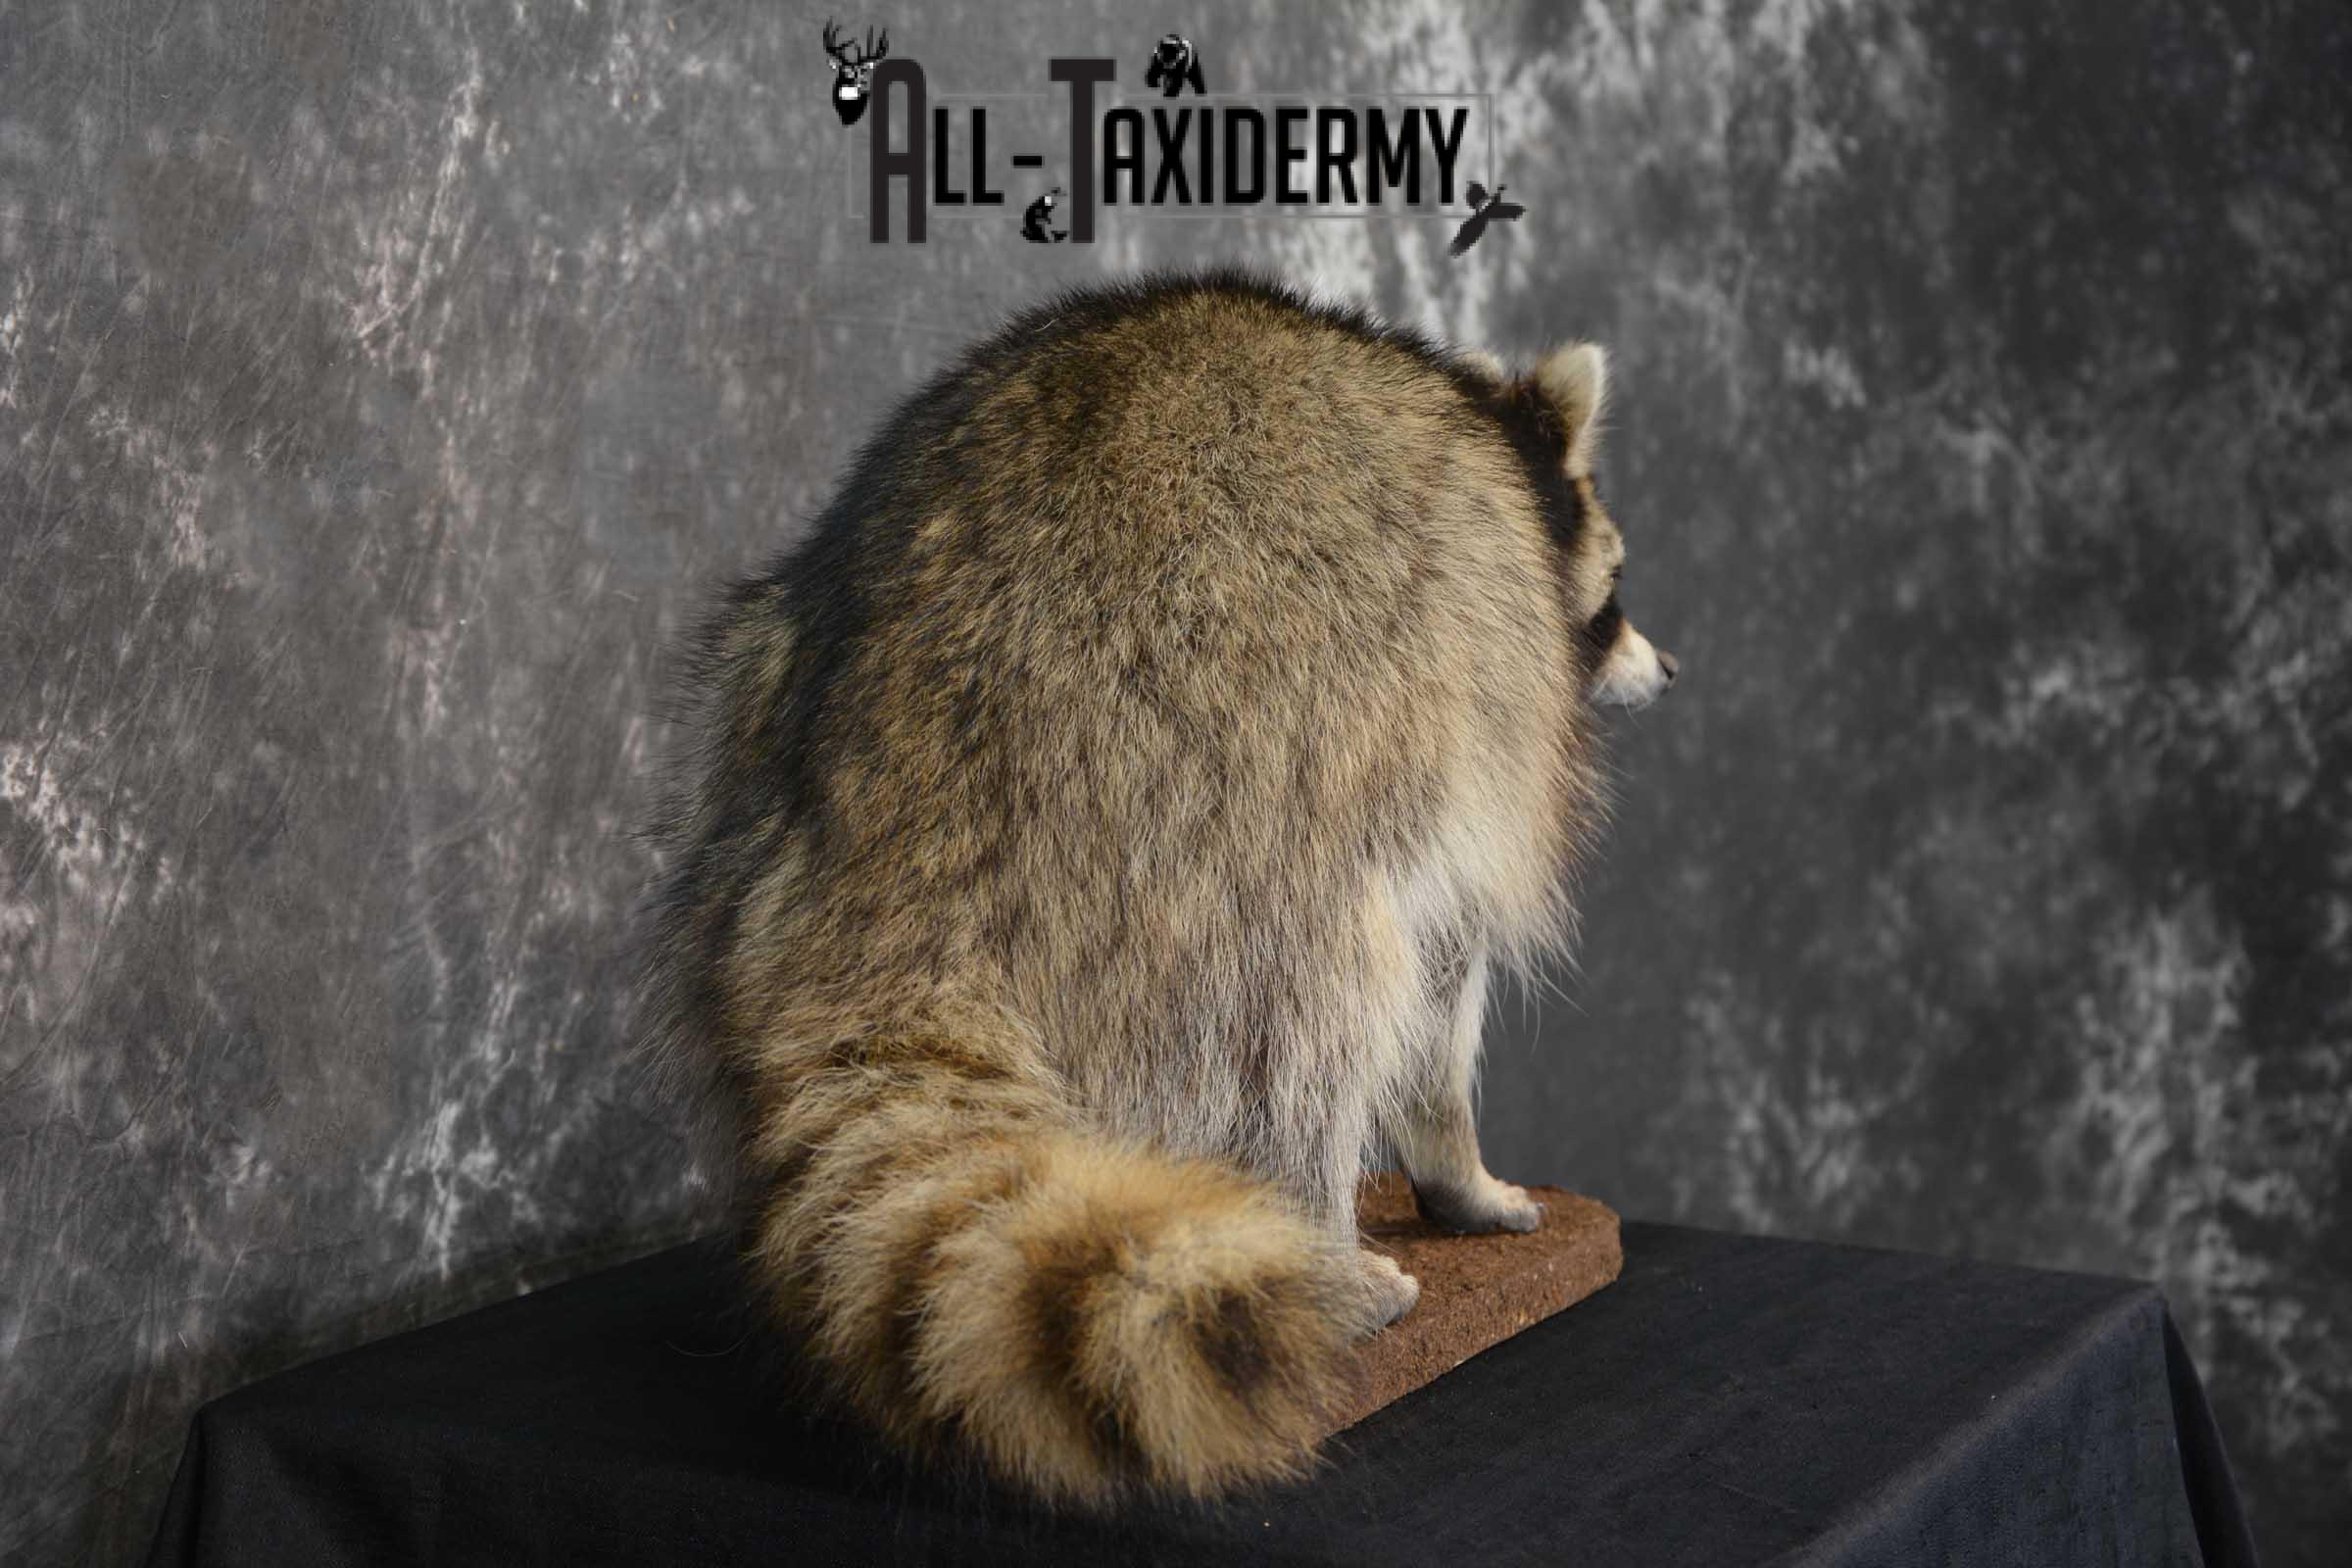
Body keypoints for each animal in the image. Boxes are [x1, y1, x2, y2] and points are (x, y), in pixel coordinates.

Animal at [642, 270, 1674, 1507]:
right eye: (1615, 590)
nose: (1667, 669)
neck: (1473, 417)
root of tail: (904, 845)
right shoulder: (1484, 688)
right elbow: (1440, 977)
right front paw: (1455, 1165)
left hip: (754, 726)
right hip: (1235, 791)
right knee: (1321, 1008)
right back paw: (1320, 1236)